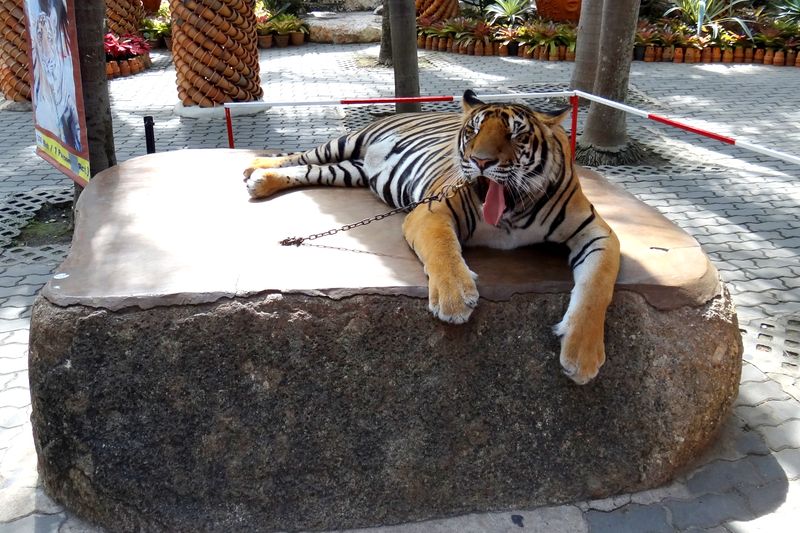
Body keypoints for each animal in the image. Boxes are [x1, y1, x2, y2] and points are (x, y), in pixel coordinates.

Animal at [243, 90, 620, 384]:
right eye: (473, 131)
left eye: (516, 135)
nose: (480, 162)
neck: (511, 212)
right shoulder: (431, 210)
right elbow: (443, 248)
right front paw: (455, 300)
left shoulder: (598, 233)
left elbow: (596, 287)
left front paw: (583, 355)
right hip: (346, 142)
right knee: (301, 155)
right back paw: (254, 169)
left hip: (349, 171)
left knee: (309, 170)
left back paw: (261, 181)